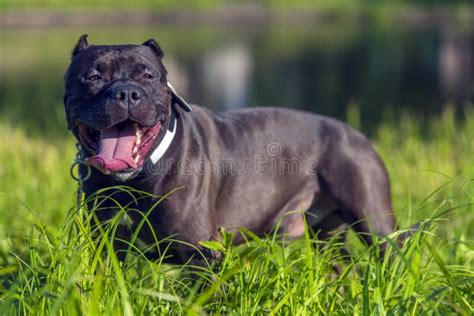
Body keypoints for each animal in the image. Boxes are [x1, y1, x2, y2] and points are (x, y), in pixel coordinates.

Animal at [63, 35, 396, 264]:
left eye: (147, 76)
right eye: (92, 77)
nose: (127, 93)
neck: (136, 177)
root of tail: (358, 135)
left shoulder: (201, 255)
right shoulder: (105, 247)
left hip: (375, 226)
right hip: (328, 239)